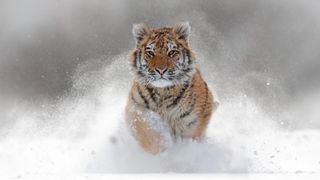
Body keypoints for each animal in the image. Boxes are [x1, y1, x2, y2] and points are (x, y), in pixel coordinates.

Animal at [124, 21, 219, 154]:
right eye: (150, 53)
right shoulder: (135, 108)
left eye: (172, 52)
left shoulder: (193, 121)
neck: (163, 92)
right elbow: (146, 130)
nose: (161, 70)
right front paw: (162, 148)